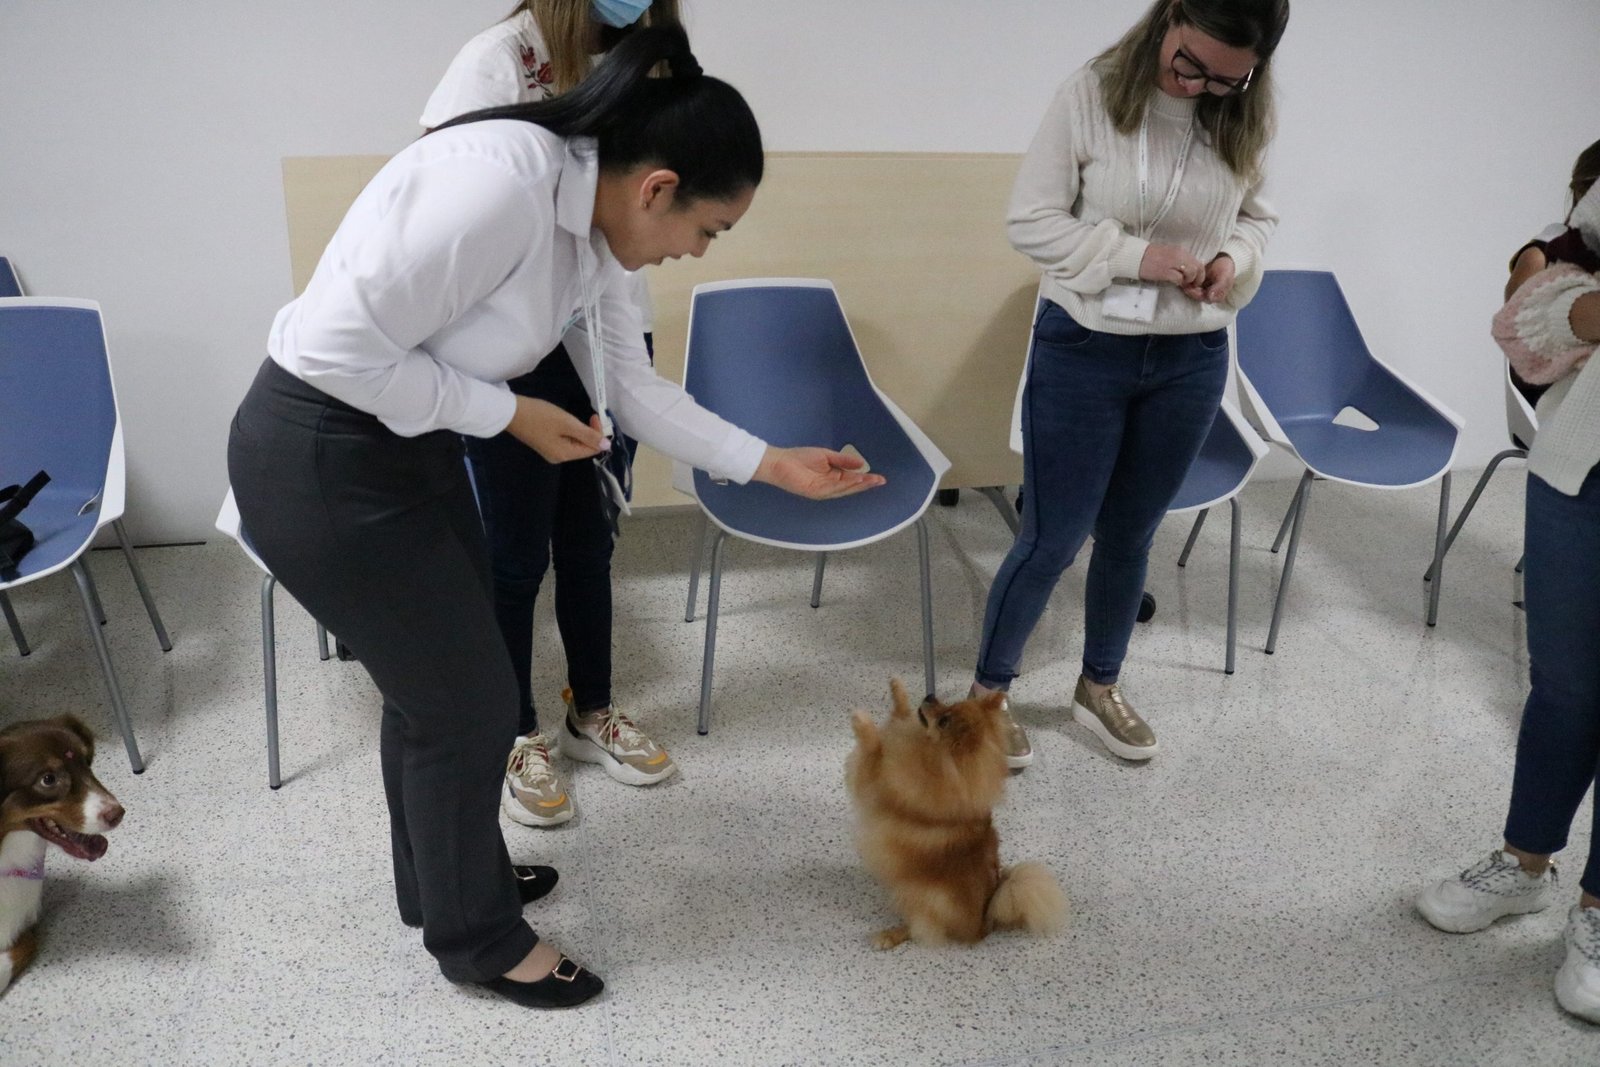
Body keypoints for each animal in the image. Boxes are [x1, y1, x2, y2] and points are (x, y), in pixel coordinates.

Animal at [846, 679, 1067, 949]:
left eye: (944, 721)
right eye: (947, 705)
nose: (930, 696)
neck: (936, 759)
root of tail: (985, 925)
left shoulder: (878, 780)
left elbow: (874, 749)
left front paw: (862, 722)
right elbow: (899, 716)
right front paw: (897, 689)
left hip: (924, 898)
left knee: (920, 928)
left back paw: (889, 935)